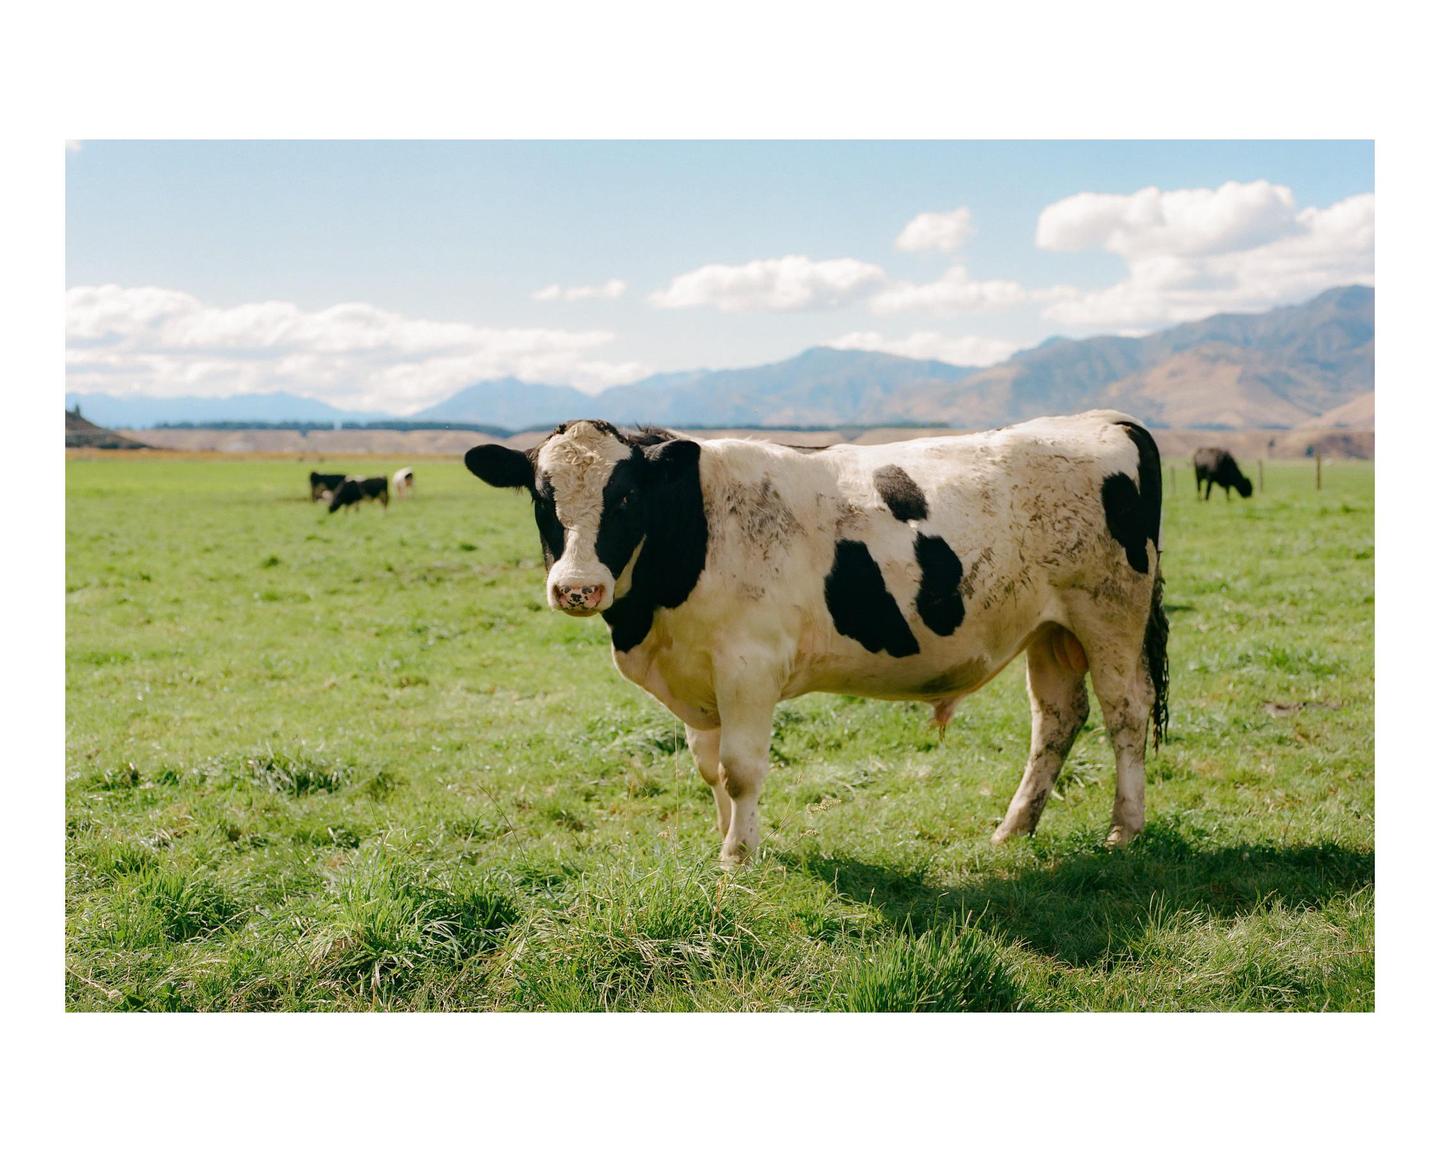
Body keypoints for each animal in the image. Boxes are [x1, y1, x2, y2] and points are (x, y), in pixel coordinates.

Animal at [464, 411, 1169, 866]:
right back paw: (1013, 830)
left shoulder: (749, 665)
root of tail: (1107, 420)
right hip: (1050, 630)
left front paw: (739, 857)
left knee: (1125, 712)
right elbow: (709, 768)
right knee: (1056, 719)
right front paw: (725, 838)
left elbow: (741, 768)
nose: (576, 588)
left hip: (1109, 613)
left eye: (627, 497)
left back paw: (1125, 829)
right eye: (542, 497)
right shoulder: (695, 674)